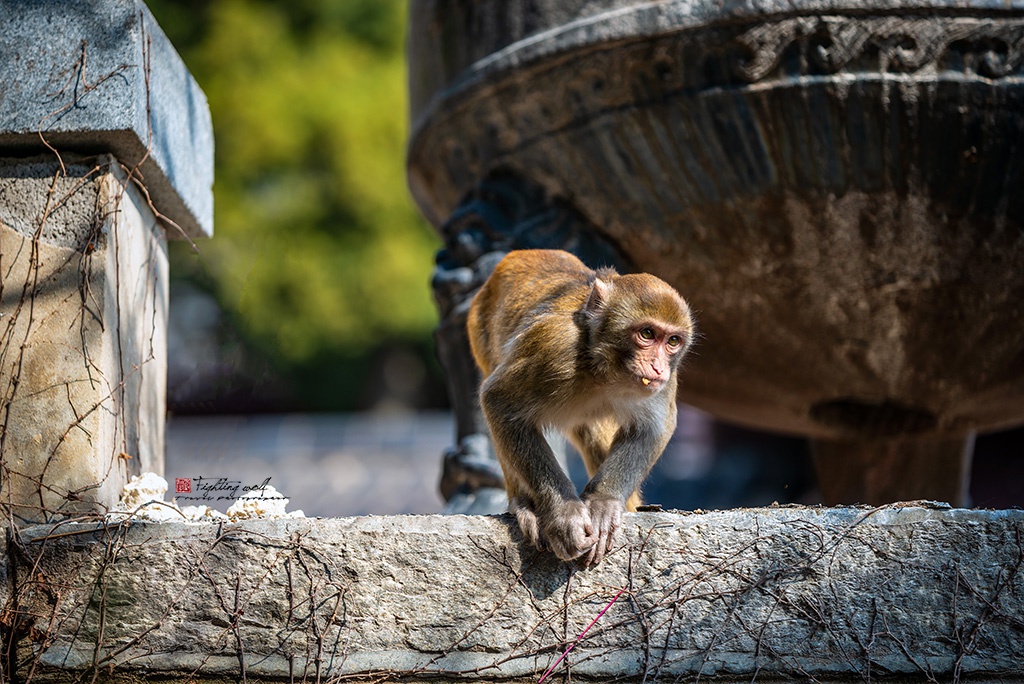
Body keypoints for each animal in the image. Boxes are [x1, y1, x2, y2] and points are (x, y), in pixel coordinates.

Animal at [466, 250, 692, 565]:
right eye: (647, 334)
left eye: (672, 341)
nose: (658, 367)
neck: (602, 368)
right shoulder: (553, 347)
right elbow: (498, 401)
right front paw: (563, 514)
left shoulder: (665, 382)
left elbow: (652, 428)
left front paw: (603, 503)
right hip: (479, 332)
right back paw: (525, 503)